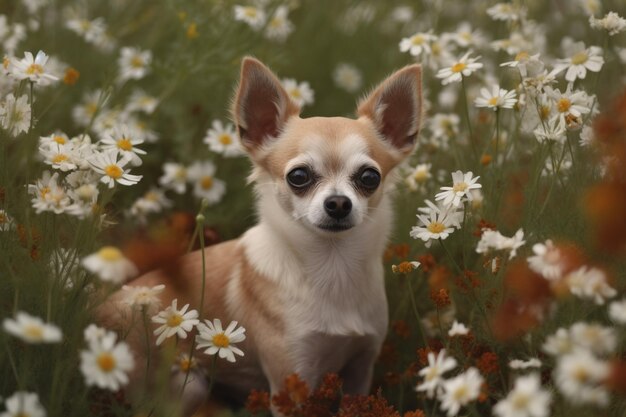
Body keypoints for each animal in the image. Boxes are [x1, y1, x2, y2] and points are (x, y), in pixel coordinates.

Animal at [102, 57, 422, 414]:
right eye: (299, 176)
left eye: (369, 177)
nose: (339, 203)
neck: (333, 265)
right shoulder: (292, 379)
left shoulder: (361, 368)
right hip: (188, 383)